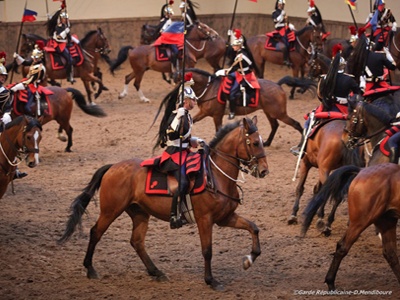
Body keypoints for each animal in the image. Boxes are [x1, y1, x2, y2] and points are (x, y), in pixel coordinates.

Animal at [57, 117, 268, 290]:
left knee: (137, 242)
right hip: (110, 211)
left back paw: (156, 272)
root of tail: (113, 167)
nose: (264, 170)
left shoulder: (225, 218)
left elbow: (254, 228)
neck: (215, 176)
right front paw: (211, 281)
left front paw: (249, 259)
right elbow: (207, 251)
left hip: (140, 213)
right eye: (255, 142)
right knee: (96, 232)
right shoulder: (205, 220)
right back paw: (90, 269)